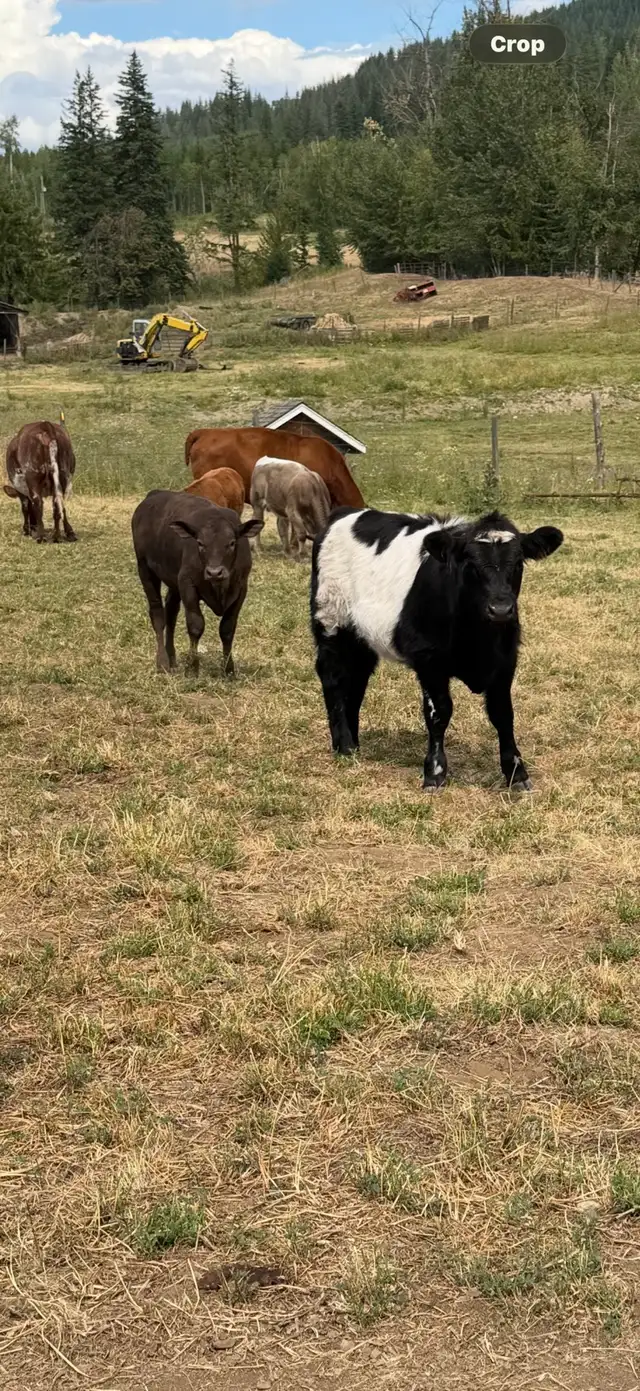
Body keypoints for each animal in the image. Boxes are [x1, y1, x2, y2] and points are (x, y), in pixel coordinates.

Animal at [131, 490, 263, 676]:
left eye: (231, 543)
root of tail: (155, 494)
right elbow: (195, 625)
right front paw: (192, 667)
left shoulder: (241, 588)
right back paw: (162, 662)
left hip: (173, 581)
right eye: (200, 543)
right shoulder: (188, 585)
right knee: (157, 613)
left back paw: (172, 658)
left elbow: (227, 629)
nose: (214, 572)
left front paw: (228, 669)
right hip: (145, 568)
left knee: (171, 612)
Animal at [310, 508, 563, 791]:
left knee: (356, 681)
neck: (478, 640)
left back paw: (353, 744)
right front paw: (435, 772)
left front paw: (516, 772)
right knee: (333, 679)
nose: (500, 609)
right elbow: (439, 714)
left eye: (518, 563)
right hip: (330, 620)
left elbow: (503, 714)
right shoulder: (429, 661)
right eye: (470, 564)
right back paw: (343, 745)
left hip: (361, 638)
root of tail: (345, 513)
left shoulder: (505, 660)